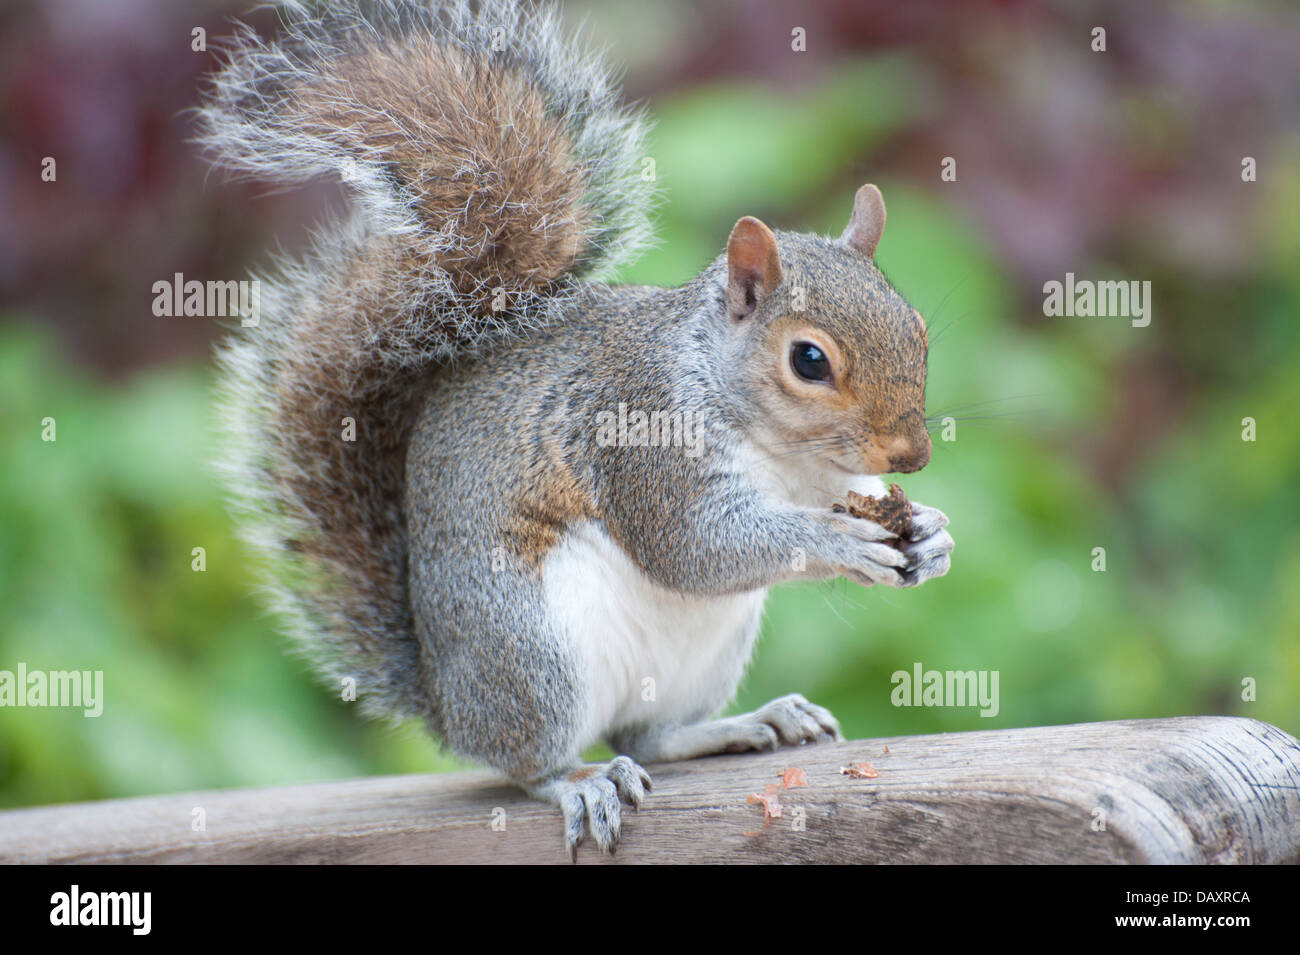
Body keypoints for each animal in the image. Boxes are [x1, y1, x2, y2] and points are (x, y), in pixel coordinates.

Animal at [200, 0, 956, 857]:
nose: (914, 454)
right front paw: (838, 540)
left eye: (916, 327)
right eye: (809, 360)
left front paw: (929, 534)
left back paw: (750, 721)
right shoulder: (644, 439)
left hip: (703, 656)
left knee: (648, 733)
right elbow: (694, 548)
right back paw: (581, 782)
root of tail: (446, 700)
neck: (783, 452)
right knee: (532, 763)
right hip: (532, 654)